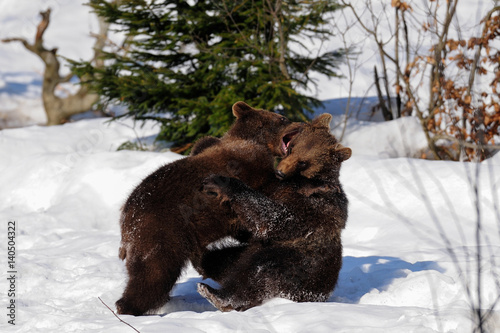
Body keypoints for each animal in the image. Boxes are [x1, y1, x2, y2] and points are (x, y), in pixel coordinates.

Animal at [114, 101, 292, 314]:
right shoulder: (246, 165)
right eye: (282, 118)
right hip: (161, 231)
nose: (294, 121)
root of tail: (125, 219)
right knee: (153, 273)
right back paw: (128, 307)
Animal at [196, 114, 352, 312]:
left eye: (303, 162)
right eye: (292, 147)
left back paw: (218, 295)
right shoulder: (274, 188)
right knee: (221, 258)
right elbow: (250, 227)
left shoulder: (312, 208)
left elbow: (274, 219)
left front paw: (221, 182)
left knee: (258, 270)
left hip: (297, 265)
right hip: (245, 253)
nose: (280, 171)